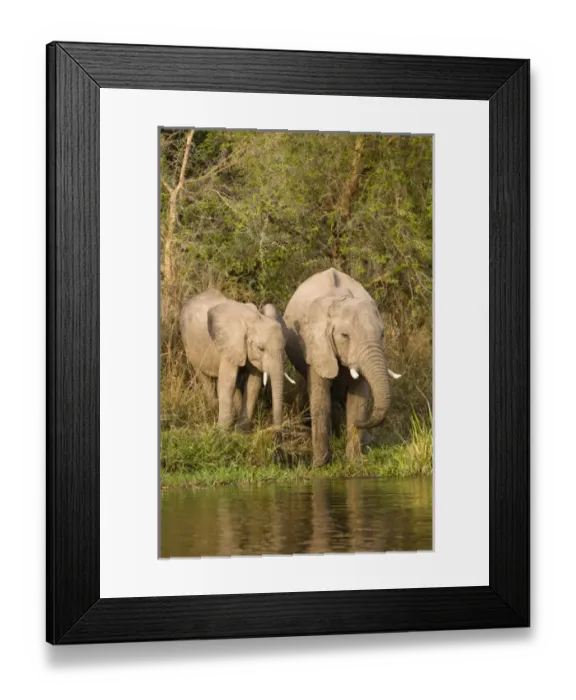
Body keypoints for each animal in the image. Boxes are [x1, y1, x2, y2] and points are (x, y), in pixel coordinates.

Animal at [179, 290, 288, 430]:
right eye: (261, 348)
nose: (276, 430)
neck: (254, 319)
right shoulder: (229, 346)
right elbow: (227, 383)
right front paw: (222, 431)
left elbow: (253, 384)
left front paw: (241, 430)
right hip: (188, 344)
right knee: (203, 376)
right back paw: (213, 409)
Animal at [284, 268, 399, 466]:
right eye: (345, 336)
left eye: (382, 335)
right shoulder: (316, 346)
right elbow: (321, 400)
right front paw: (320, 465)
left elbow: (358, 401)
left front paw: (355, 462)